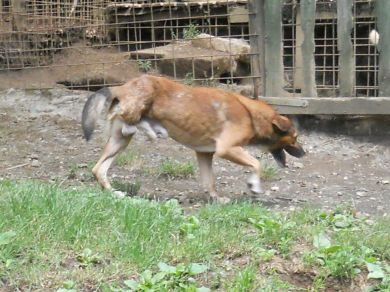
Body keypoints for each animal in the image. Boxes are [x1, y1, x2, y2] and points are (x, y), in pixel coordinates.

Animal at [80, 75, 304, 202]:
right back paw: (152, 130)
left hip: (119, 142)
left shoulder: (204, 153)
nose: (304, 153)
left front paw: (216, 199)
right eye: (294, 138)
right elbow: (257, 164)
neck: (251, 113)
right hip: (144, 97)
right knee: (129, 120)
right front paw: (254, 186)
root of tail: (121, 87)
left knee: (99, 168)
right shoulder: (227, 149)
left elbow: (209, 181)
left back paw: (114, 193)